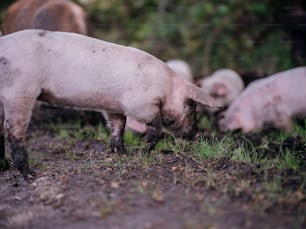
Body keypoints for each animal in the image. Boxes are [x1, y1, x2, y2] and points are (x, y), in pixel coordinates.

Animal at [0, 29, 220, 179]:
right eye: (191, 107)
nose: (197, 132)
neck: (167, 87)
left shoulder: (113, 106)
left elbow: (117, 126)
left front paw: (120, 153)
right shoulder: (139, 104)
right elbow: (155, 125)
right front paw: (142, 150)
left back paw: (5, 167)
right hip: (18, 91)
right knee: (12, 131)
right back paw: (30, 175)